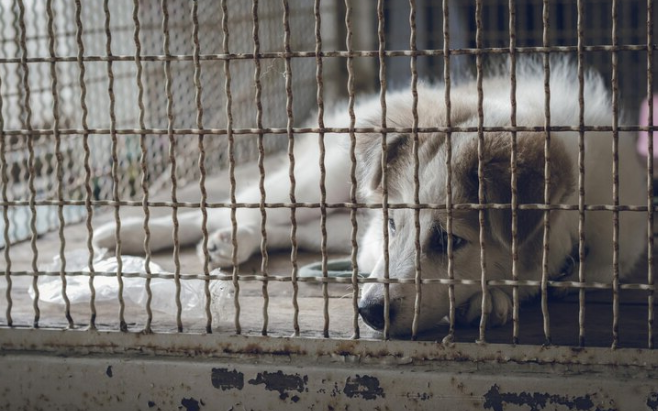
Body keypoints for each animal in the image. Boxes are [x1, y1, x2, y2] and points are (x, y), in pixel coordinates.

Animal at [95, 60, 644, 338]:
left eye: (451, 240)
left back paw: (233, 242)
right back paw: (135, 233)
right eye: (396, 225)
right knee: (240, 203)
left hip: (334, 221)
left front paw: (493, 299)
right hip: (321, 180)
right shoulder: (374, 240)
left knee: (285, 229)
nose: (369, 314)